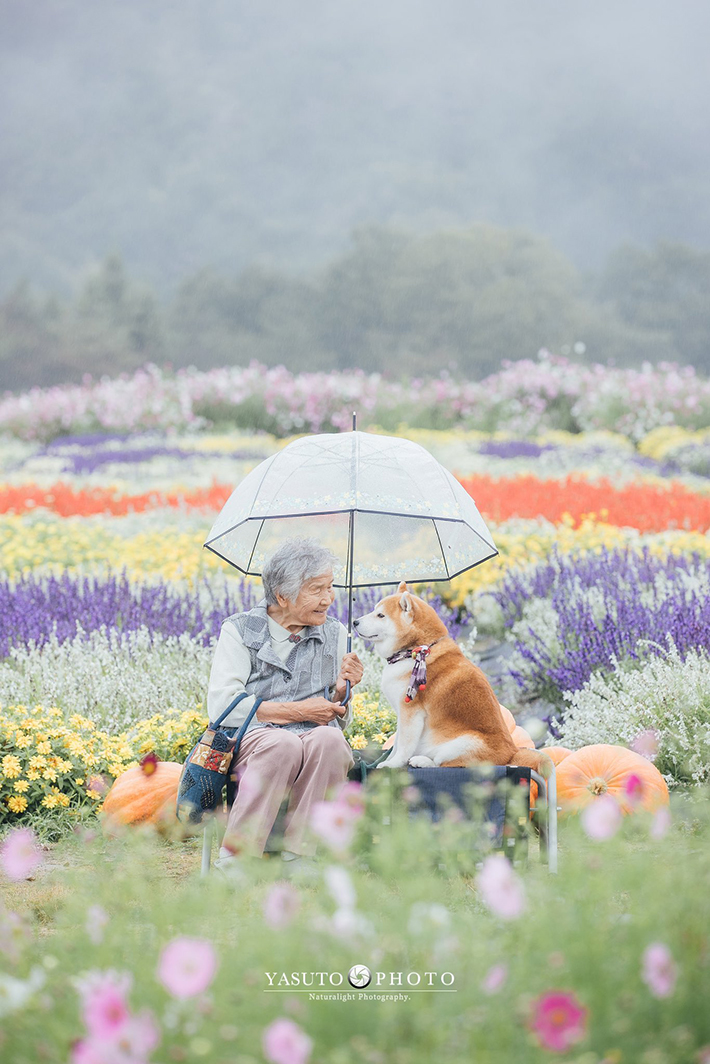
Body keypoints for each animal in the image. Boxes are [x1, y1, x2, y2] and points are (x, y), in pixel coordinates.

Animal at [355, 587, 553, 778]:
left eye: (381, 615)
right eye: (374, 610)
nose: (355, 622)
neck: (414, 651)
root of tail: (512, 755)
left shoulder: (410, 713)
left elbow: (403, 746)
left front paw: (392, 764)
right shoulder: (402, 715)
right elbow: (396, 744)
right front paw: (390, 759)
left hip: (462, 744)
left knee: (446, 765)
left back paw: (422, 761)